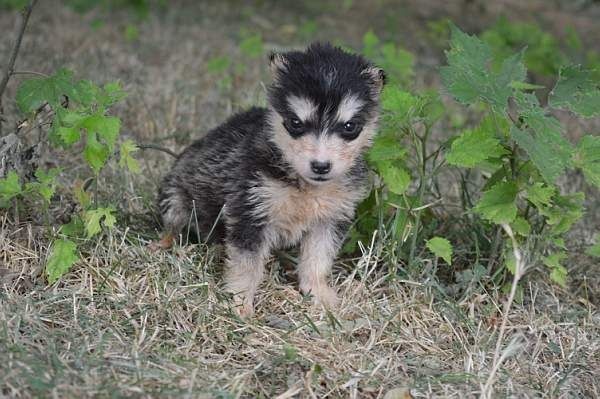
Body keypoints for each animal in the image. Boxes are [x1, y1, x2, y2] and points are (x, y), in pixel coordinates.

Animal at [155, 43, 386, 318]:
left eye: (350, 126)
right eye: (295, 123)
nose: (320, 166)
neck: (306, 187)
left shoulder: (330, 218)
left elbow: (318, 258)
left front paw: (318, 293)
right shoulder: (251, 210)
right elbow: (247, 265)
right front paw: (239, 303)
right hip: (176, 199)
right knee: (173, 226)